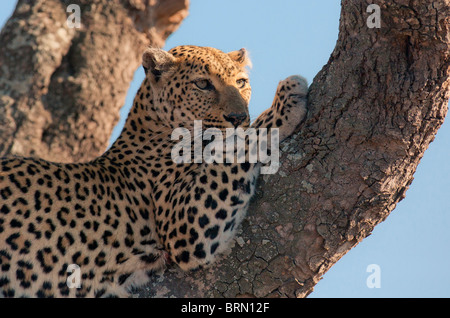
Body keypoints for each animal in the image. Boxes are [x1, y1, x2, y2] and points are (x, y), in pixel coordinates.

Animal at [0, 45, 308, 298]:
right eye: (203, 84)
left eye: (241, 83)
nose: (238, 117)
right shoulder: (185, 226)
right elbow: (239, 142)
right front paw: (287, 99)